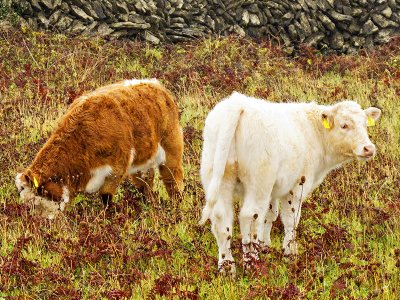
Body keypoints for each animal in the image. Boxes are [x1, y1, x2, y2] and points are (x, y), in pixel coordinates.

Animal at [15, 78, 184, 218]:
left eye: (36, 202)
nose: (40, 224)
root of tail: (155, 84)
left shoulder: (116, 169)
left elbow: (106, 199)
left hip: (171, 149)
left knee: (173, 181)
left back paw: (177, 208)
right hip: (142, 163)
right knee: (146, 185)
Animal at [200, 92, 382, 276]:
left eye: (365, 124)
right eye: (344, 125)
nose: (368, 148)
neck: (315, 133)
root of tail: (237, 104)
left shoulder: (274, 190)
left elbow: (270, 215)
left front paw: (265, 246)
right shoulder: (296, 186)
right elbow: (290, 219)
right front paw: (290, 254)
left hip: (219, 178)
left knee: (221, 220)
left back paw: (227, 267)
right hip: (259, 182)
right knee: (249, 216)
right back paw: (252, 264)